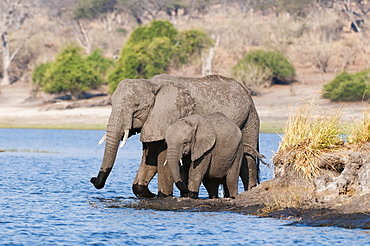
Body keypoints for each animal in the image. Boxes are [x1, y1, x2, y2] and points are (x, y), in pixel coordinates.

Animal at [90, 74, 260, 197]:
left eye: (136, 107)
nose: (92, 179)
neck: (151, 84)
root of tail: (247, 92)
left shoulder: (169, 116)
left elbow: (162, 157)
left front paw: (163, 195)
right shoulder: (153, 122)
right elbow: (150, 157)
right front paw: (148, 194)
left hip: (249, 120)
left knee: (247, 159)